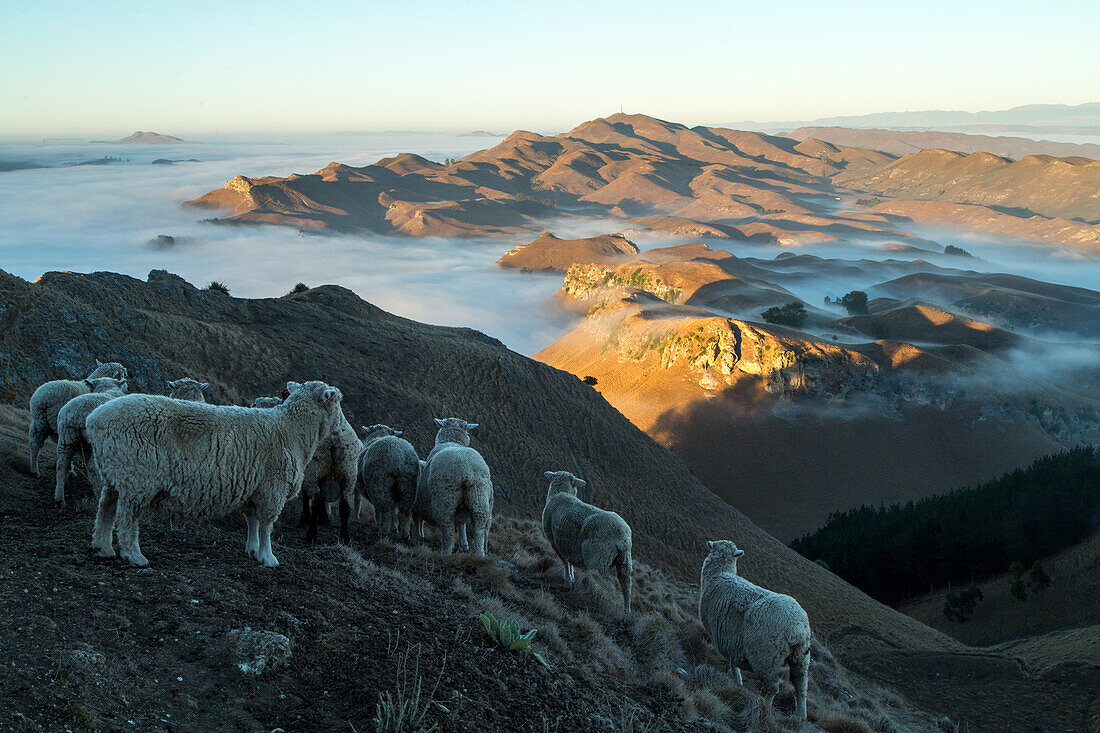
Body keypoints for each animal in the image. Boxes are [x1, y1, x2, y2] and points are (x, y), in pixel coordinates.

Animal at [51, 376, 127, 508]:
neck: (108, 389)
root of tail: (74, 413)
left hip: (67, 437)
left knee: (61, 465)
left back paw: (59, 499)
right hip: (92, 441)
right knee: (91, 466)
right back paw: (98, 491)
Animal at [88, 376, 341, 563]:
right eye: (337, 402)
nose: (341, 429)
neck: (293, 429)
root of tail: (95, 419)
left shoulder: (254, 488)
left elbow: (252, 522)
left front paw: (252, 549)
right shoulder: (273, 488)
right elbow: (266, 525)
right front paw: (267, 556)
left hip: (114, 472)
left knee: (105, 507)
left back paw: (103, 547)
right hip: (137, 477)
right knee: (127, 517)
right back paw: (133, 555)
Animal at [413, 416, 495, 554]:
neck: (452, 441)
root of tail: (466, 471)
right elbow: (462, 524)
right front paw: (464, 544)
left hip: (445, 500)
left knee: (449, 533)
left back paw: (445, 553)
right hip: (478, 498)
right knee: (479, 532)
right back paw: (479, 553)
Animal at [543, 468, 638, 611]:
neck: (560, 493)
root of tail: (623, 537)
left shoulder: (555, 540)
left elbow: (565, 561)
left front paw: (568, 580)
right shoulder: (568, 545)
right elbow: (569, 561)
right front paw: (572, 579)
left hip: (598, 559)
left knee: (601, 582)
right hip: (625, 560)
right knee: (626, 583)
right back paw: (626, 611)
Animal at [699, 537, 814, 717]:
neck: (719, 574)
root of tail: (798, 627)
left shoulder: (725, 637)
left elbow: (732, 660)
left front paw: (736, 679)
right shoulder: (731, 638)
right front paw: (737, 680)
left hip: (766, 657)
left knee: (773, 687)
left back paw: (765, 705)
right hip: (801, 657)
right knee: (801, 687)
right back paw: (800, 716)